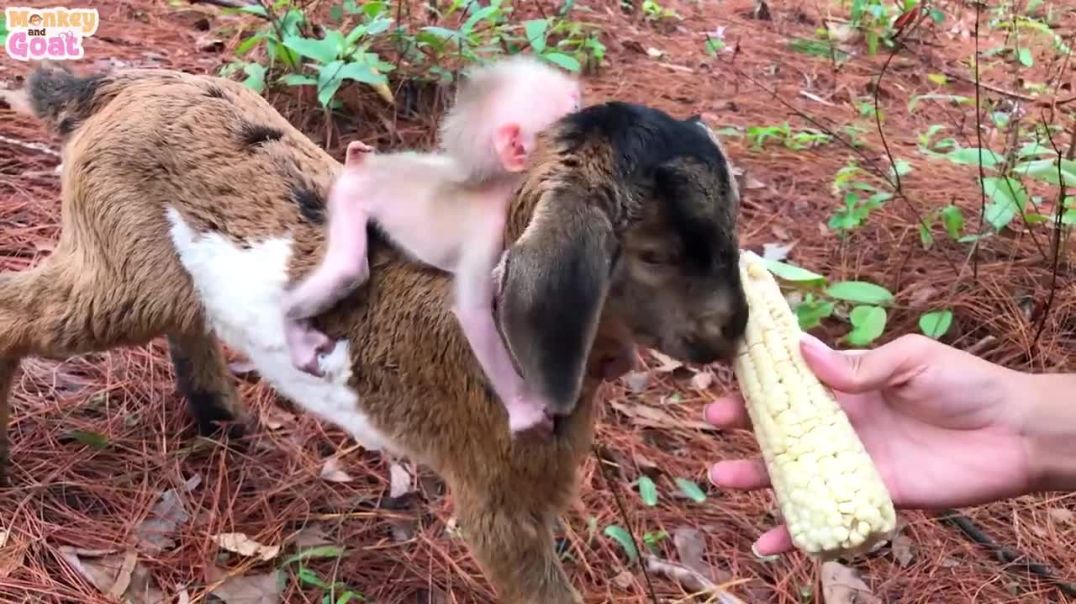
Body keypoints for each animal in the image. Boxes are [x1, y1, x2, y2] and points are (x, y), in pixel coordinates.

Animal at [281, 55, 583, 436]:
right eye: (576, 112)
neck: (497, 185)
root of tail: (366, 168)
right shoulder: (487, 232)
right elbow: (474, 314)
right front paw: (524, 410)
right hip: (349, 196)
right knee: (348, 270)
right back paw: (291, 323)